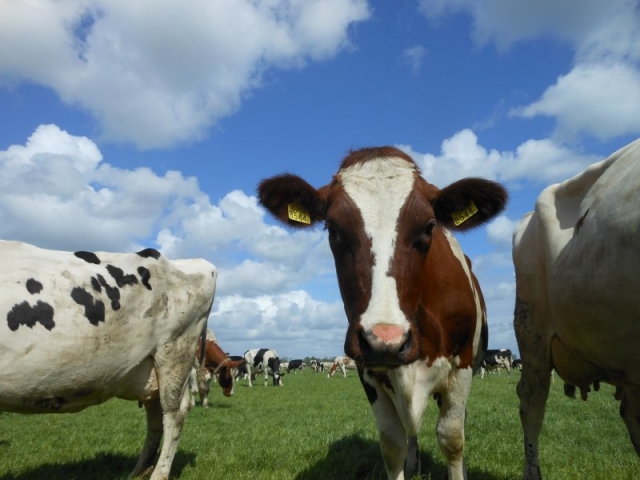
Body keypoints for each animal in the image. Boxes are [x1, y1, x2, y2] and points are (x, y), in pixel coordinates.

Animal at [0, 240, 218, 480]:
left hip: (174, 350)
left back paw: (158, 474)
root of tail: (198, 264)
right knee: (155, 417)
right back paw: (139, 471)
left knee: (173, 413)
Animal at [258, 146, 508, 480]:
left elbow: (453, 437)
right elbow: (392, 443)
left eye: (428, 227)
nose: (385, 340)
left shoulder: (463, 366)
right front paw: (406, 461)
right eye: (333, 229)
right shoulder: (368, 370)